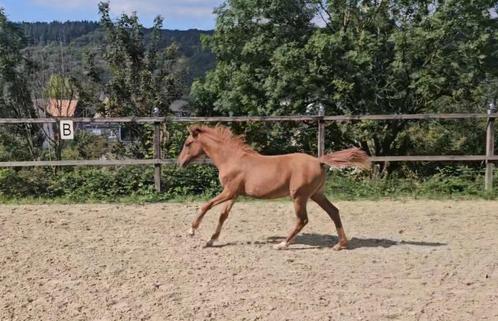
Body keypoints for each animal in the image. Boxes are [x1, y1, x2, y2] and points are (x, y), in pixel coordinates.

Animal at [176, 124, 370, 249]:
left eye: (187, 143)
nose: (180, 162)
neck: (232, 159)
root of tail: (319, 161)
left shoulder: (229, 191)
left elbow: (206, 205)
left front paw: (192, 230)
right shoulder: (234, 194)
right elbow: (223, 215)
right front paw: (211, 241)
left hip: (299, 196)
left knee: (303, 219)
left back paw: (282, 244)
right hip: (316, 194)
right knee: (333, 211)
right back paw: (340, 244)